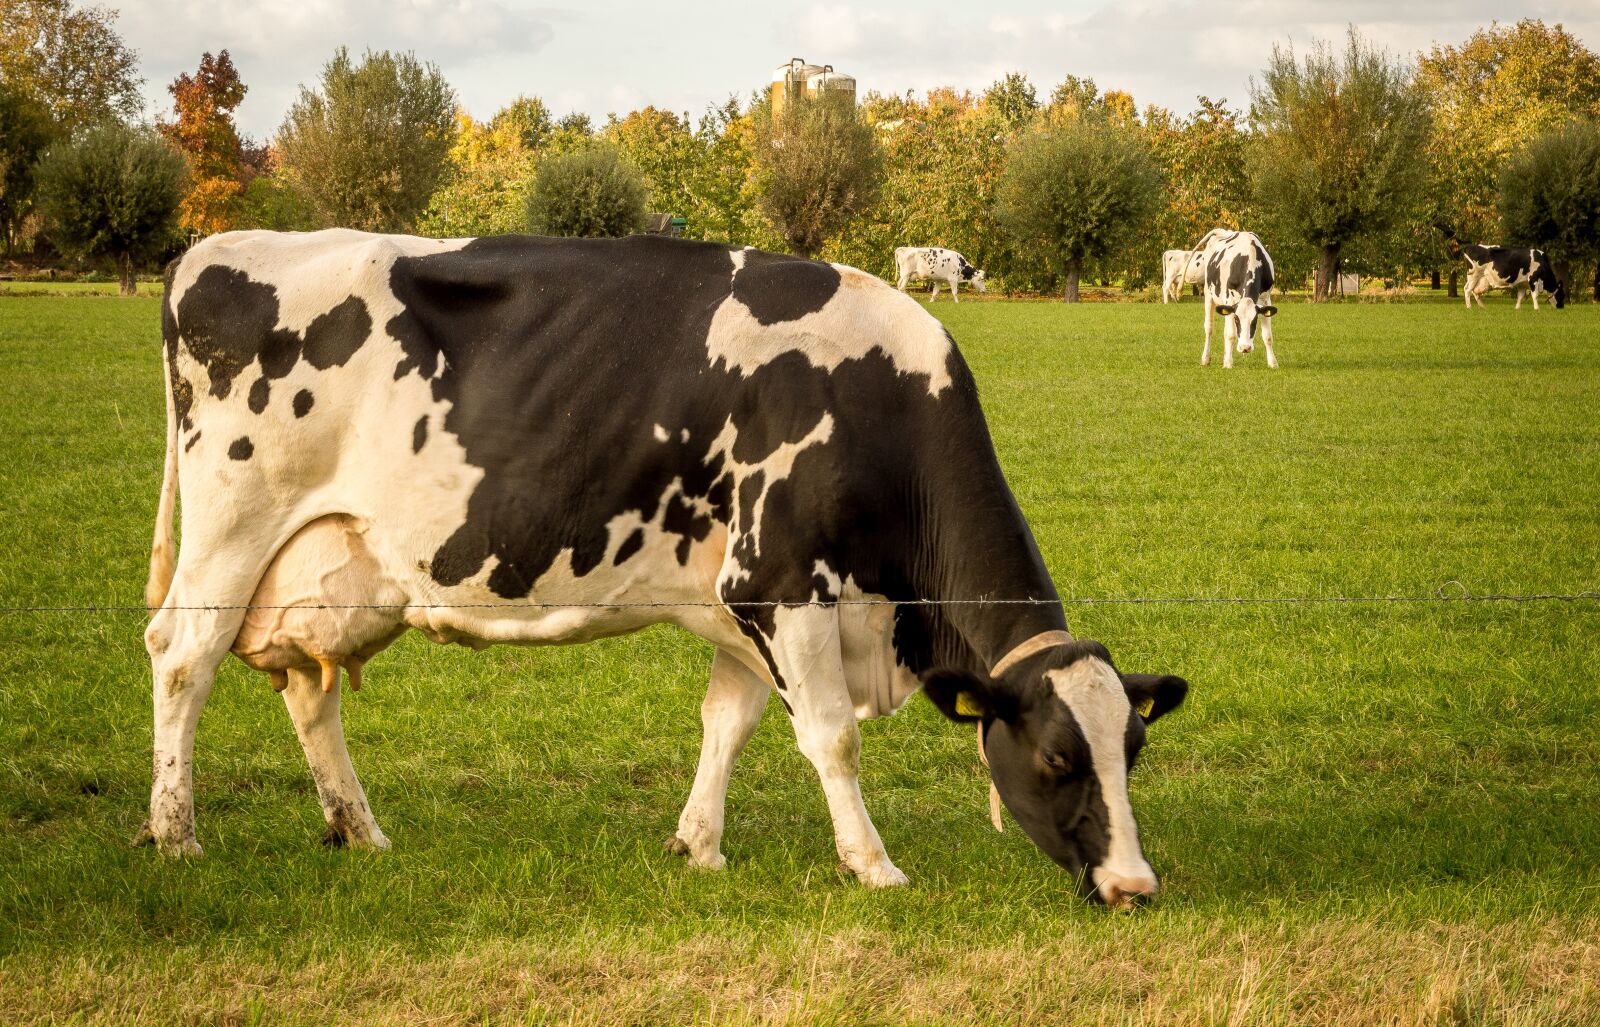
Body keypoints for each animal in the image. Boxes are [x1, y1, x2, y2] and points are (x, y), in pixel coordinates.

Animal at [140, 229, 1190, 906]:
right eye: (1057, 759)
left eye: (1132, 750)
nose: (1135, 885)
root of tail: (207, 249)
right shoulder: (783, 581)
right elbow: (833, 738)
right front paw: (872, 864)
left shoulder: (742, 606)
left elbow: (729, 722)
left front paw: (700, 846)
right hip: (233, 524)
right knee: (183, 659)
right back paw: (176, 834)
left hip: (331, 562)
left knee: (309, 691)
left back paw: (360, 830)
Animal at [1199, 230, 1278, 369]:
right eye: (1237, 319)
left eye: (1255, 320)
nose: (1245, 348)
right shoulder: (1229, 300)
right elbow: (1231, 335)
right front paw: (1228, 364)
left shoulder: (1266, 299)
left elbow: (1268, 336)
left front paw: (1273, 363)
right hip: (1208, 293)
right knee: (1209, 328)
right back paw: (1205, 358)